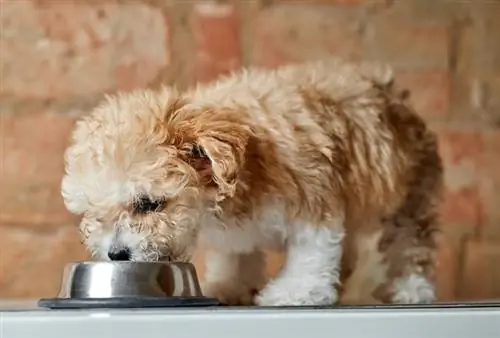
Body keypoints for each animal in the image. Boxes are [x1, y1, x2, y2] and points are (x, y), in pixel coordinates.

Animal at [61, 58, 442, 306]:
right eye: (95, 213)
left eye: (149, 204)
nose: (117, 254)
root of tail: (391, 90)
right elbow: (237, 255)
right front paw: (230, 286)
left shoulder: (313, 195)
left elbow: (312, 250)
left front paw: (295, 292)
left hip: (409, 192)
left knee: (410, 241)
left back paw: (412, 287)